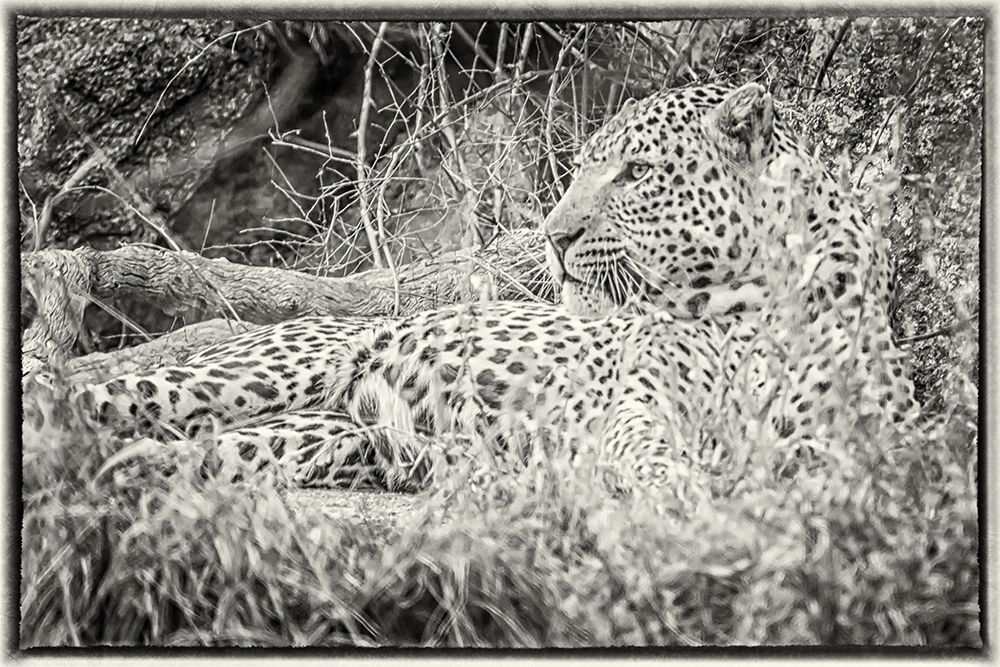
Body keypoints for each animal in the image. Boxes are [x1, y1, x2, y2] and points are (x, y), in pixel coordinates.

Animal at [68, 82, 919, 506]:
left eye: (637, 172)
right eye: (580, 167)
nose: (554, 234)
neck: (751, 302)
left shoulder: (854, 436)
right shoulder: (637, 410)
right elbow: (649, 446)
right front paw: (676, 486)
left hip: (301, 433)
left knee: (175, 451)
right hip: (264, 368)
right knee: (92, 401)